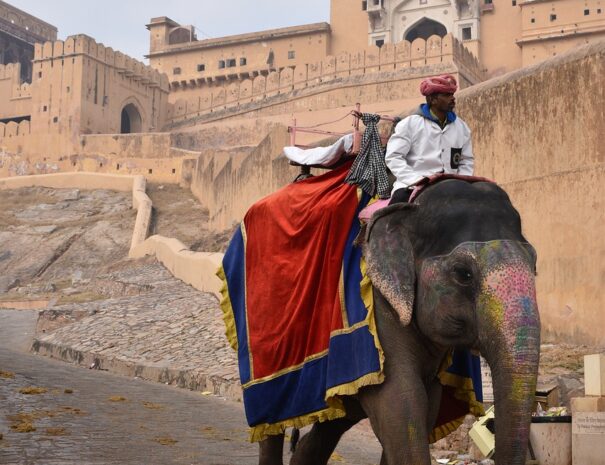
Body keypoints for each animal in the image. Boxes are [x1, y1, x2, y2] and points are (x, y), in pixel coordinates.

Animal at [258, 178, 540, 464]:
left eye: (535, 265)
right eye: (463, 274)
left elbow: (425, 404)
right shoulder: (377, 309)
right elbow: (401, 400)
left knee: (329, 426)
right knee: (270, 425)